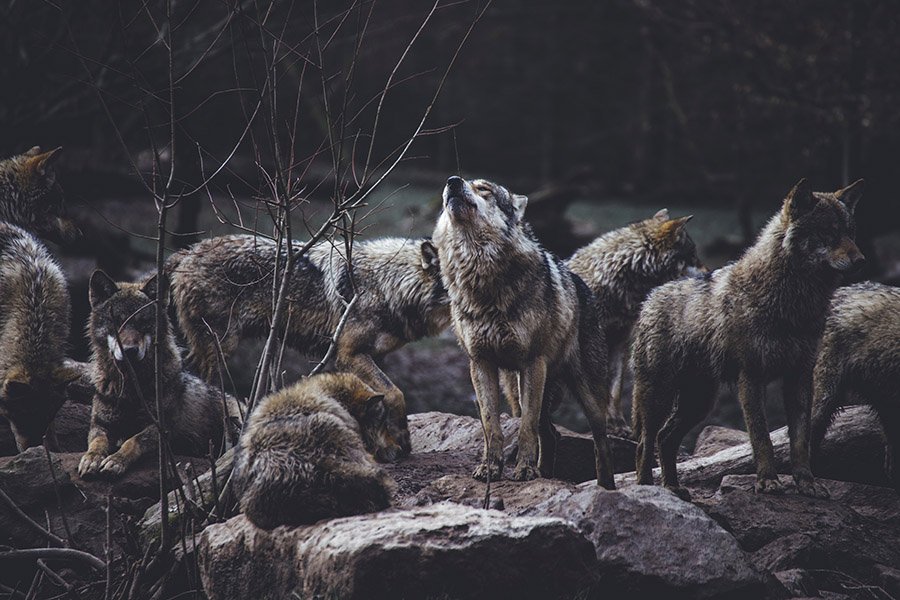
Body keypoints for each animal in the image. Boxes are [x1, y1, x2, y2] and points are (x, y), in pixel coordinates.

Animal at [78, 270, 242, 478]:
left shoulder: (161, 428)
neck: (131, 388)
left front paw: (116, 460)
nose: (129, 350)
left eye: (143, 323)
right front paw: (91, 459)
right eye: (117, 322)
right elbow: (97, 442)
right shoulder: (100, 424)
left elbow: (132, 441)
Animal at [167, 235, 450, 460]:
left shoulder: (374, 357)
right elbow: (395, 394)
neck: (388, 284)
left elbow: (380, 400)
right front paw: (402, 440)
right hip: (220, 348)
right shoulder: (349, 354)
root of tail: (188, 251)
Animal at [432, 175, 614, 487]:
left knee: (600, 443)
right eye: (459, 182)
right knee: (551, 434)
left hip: (586, 395)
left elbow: (525, 428)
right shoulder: (480, 363)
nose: (453, 182)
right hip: (518, 388)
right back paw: (547, 474)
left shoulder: (532, 363)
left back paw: (606, 487)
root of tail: (583, 286)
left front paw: (525, 471)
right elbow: (491, 426)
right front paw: (490, 469)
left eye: (484, 189)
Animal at [632, 179, 864, 499]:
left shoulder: (800, 377)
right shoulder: (751, 378)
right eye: (828, 232)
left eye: (850, 233)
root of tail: (651, 297)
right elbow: (761, 438)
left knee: (665, 438)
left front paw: (807, 483)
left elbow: (800, 440)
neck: (793, 303)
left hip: (699, 402)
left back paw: (673, 489)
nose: (861, 260)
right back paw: (647, 489)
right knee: (646, 441)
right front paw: (767, 482)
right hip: (660, 396)